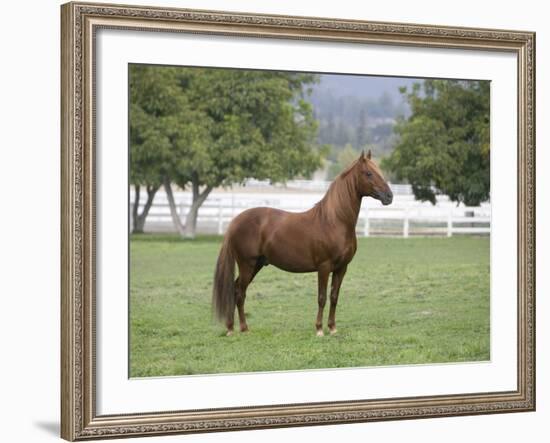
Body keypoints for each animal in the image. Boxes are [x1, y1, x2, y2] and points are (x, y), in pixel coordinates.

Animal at [213, 151, 394, 338]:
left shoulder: (341, 268)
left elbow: (334, 297)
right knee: (238, 292)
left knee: (237, 290)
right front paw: (319, 329)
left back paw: (238, 328)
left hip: (256, 265)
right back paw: (235, 328)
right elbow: (321, 298)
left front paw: (332, 328)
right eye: (369, 173)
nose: (389, 196)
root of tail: (236, 220)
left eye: (379, 171)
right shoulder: (324, 267)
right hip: (247, 265)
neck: (334, 221)